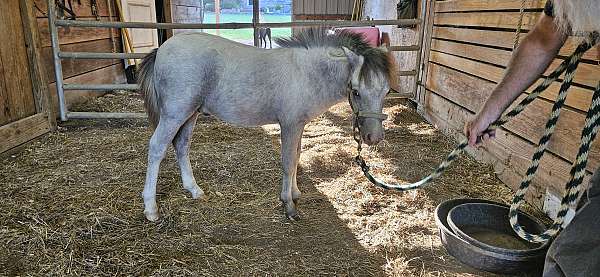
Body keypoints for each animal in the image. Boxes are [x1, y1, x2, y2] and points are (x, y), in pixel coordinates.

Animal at [138, 28, 396, 221]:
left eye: (386, 91)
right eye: (356, 91)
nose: (374, 137)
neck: (306, 74)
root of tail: (162, 49)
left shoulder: (299, 126)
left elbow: (297, 157)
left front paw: (295, 193)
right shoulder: (289, 125)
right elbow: (288, 162)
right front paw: (289, 205)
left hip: (190, 114)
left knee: (182, 146)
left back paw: (194, 190)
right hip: (174, 113)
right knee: (157, 147)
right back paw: (151, 208)